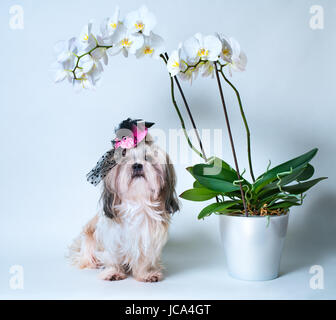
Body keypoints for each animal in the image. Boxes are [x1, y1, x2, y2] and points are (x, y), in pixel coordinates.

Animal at [67, 119, 178, 282]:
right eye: (125, 159)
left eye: (148, 158)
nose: (137, 165)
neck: (137, 202)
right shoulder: (111, 238)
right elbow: (112, 257)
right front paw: (113, 272)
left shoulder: (147, 239)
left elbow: (144, 259)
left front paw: (146, 274)